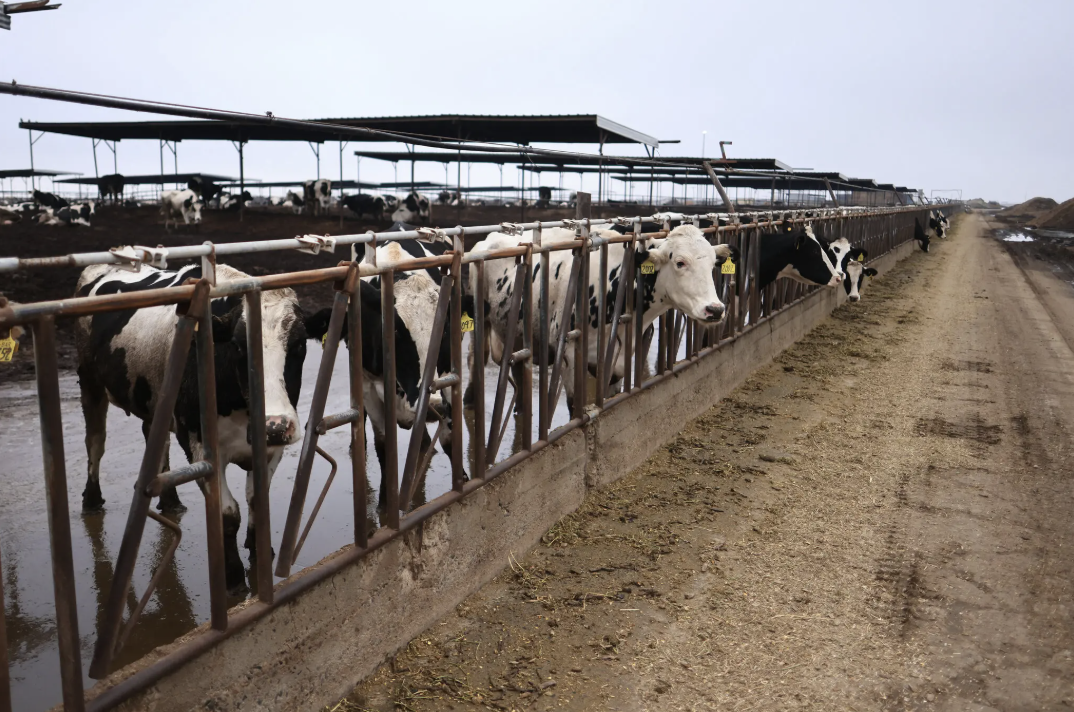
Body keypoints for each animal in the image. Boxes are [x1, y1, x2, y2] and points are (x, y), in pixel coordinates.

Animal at [74, 262, 311, 597]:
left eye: (299, 344)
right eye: (238, 346)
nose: (274, 425)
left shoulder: (272, 447)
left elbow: (256, 499)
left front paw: (259, 552)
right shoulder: (200, 447)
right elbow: (228, 514)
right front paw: (234, 578)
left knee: (154, 436)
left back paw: (170, 500)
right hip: (90, 384)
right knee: (95, 442)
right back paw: (92, 499)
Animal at [305, 239, 468, 513]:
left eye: (445, 328)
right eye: (395, 332)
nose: (433, 403)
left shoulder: (446, 374)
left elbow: (450, 431)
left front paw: (464, 479)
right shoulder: (369, 386)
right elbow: (383, 444)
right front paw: (384, 503)